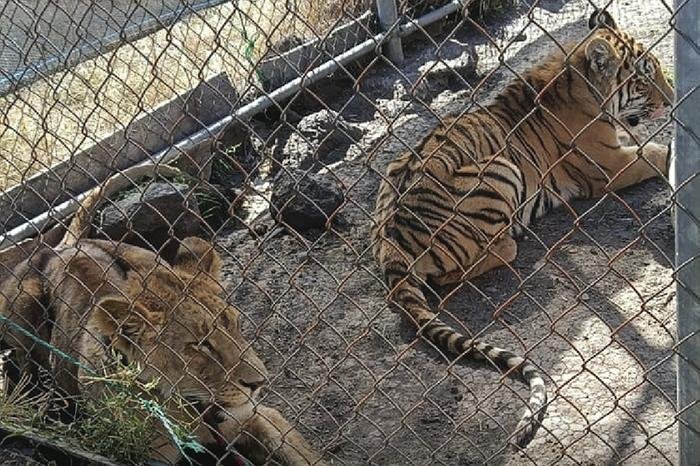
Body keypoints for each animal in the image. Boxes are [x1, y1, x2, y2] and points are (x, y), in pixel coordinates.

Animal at [371, 8, 673, 447]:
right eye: (644, 78)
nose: (671, 99)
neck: (578, 80)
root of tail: (390, 242)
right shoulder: (610, 166)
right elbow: (659, 152)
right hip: (501, 170)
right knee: (469, 265)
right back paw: (515, 238)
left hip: (394, 168)